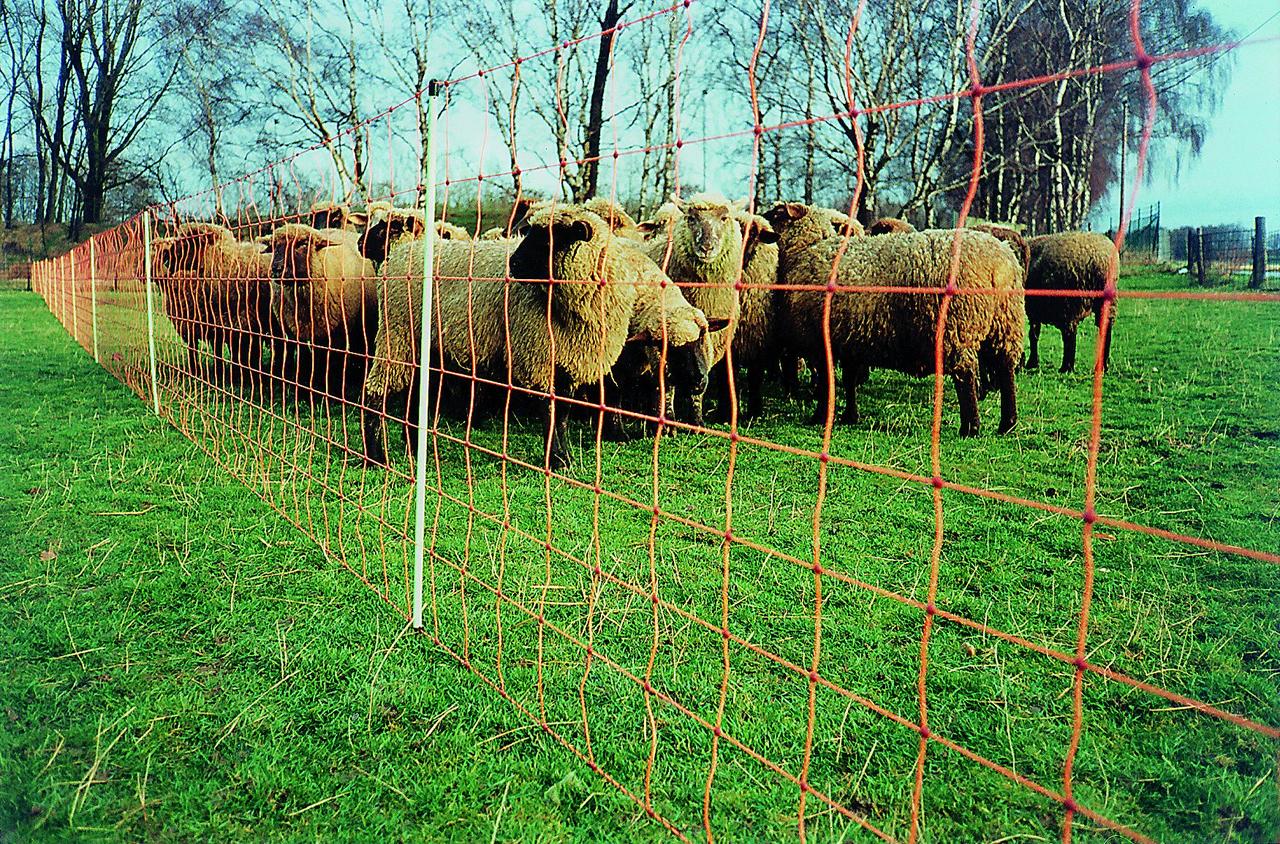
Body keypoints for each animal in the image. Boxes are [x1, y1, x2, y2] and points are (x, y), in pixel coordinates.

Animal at [263, 222, 373, 397]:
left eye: (302, 243)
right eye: (273, 246)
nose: (276, 269)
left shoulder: (338, 332)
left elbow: (334, 362)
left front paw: (332, 390)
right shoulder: (296, 331)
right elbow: (303, 358)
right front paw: (302, 389)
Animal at [640, 194, 747, 425]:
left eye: (724, 217)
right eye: (691, 218)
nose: (706, 247)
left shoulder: (708, 338)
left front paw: (697, 420)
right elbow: (667, 380)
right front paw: (668, 417)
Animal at [762, 204, 1024, 438]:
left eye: (776, 213)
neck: (806, 250)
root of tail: (1000, 262)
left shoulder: (820, 340)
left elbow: (828, 384)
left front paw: (819, 416)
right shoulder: (849, 338)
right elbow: (848, 379)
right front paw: (850, 416)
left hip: (959, 327)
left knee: (966, 376)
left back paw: (970, 427)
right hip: (1005, 323)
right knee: (1006, 369)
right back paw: (1007, 423)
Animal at [1018, 233, 1121, 373]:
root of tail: (1099, 259)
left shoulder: (1033, 309)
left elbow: (1033, 335)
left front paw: (1031, 362)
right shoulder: (1034, 309)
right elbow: (1034, 333)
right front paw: (1033, 362)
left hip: (1069, 302)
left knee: (1069, 335)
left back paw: (1067, 367)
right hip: (1107, 302)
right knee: (1105, 328)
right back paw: (1103, 366)